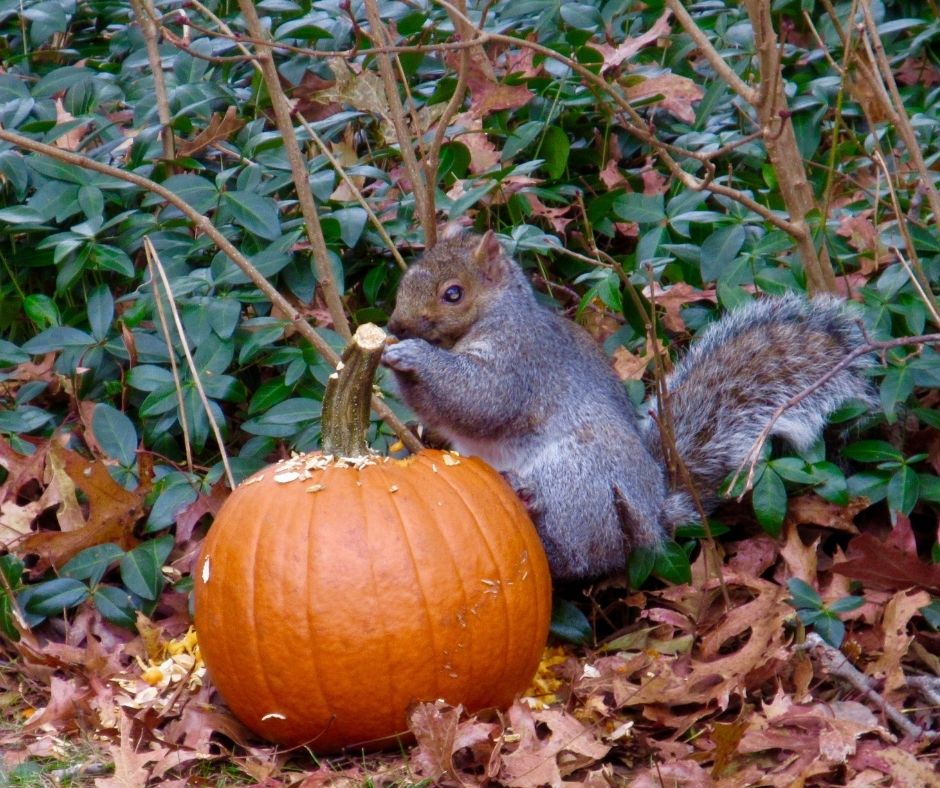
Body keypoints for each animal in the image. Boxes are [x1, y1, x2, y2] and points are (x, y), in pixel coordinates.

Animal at [380, 228, 872, 580]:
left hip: (579, 478)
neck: (494, 315)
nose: (396, 325)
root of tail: (655, 512)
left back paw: (533, 509)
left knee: (579, 555)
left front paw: (410, 356)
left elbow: (482, 398)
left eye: (454, 293)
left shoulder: (521, 361)